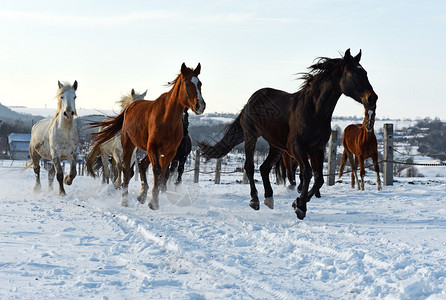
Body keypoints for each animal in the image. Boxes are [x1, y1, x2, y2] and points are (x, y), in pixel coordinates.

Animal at [90, 62, 206, 209]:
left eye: (200, 83)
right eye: (186, 84)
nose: (200, 105)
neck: (166, 119)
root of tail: (130, 107)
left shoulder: (169, 152)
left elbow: (163, 173)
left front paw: (153, 200)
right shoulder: (153, 148)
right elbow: (156, 170)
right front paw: (153, 201)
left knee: (140, 165)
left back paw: (141, 195)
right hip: (128, 147)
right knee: (125, 170)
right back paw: (124, 200)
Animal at [200, 48, 378, 219]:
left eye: (365, 72)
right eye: (352, 74)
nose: (372, 99)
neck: (314, 111)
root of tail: (251, 100)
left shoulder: (317, 149)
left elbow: (319, 179)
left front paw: (297, 203)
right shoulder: (296, 147)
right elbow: (307, 173)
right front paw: (300, 207)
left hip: (276, 145)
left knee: (264, 168)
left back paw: (269, 198)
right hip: (251, 136)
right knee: (250, 167)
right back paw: (255, 200)